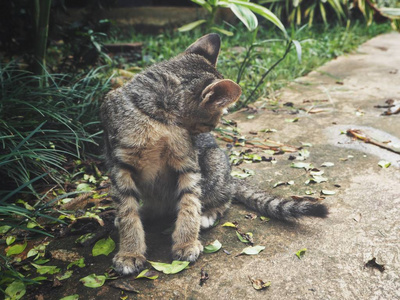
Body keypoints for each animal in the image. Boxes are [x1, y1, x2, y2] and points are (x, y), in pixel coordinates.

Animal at [101, 34, 328, 276]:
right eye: (210, 123)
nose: (208, 134)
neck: (158, 119)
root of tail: (230, 177)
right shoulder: (120, 166)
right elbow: (128, 212)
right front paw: (130, 252)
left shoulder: (188, 163)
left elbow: (190, 203)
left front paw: (186, 242)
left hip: (213, 163)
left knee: (223, 197)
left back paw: (207, 213)